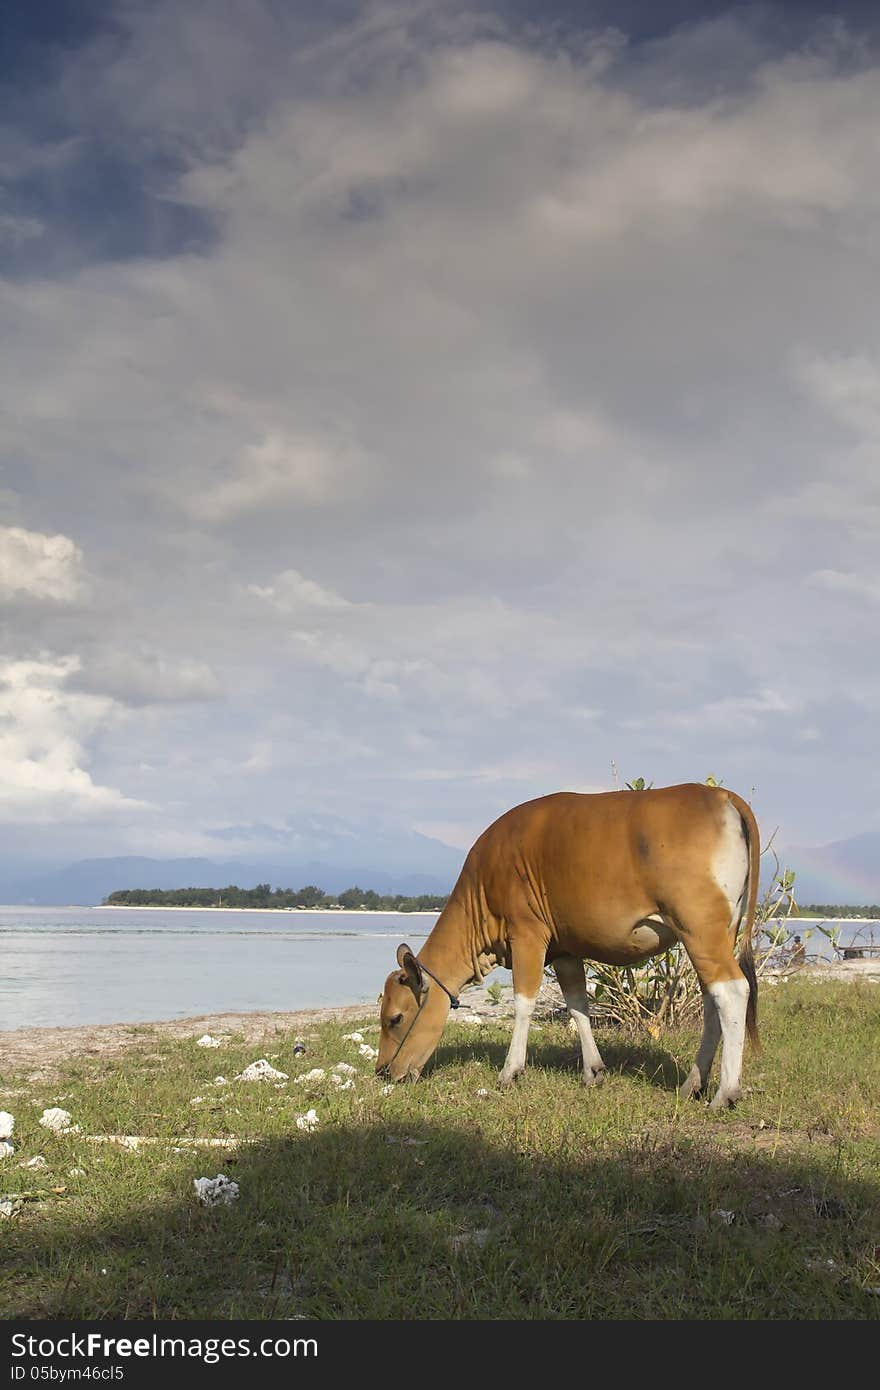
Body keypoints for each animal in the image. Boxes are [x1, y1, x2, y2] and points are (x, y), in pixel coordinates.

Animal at [375, 783, 756, 1106]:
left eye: (395, 1019)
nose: (383, 1071)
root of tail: (720, 794)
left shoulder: (527, 933)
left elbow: (524, 1002)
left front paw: (510, 1071)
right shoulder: (565, 950)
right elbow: (577, 1005)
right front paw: (593, 1071)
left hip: (699, 927)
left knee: (732, 991)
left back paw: (725, 1092)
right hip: (716, 932)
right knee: (711, 999)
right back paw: (693, 1083)